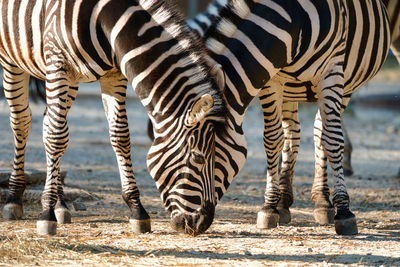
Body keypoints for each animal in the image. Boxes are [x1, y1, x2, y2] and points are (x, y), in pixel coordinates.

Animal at [0, 0, 230, 237]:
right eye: (198, 158)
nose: (203, 223)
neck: (107, 18)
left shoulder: (114, 74)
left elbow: (120, 136)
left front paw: (137, 209)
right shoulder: (58, 63)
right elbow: (55, 138)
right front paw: (46, 213)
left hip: (67, 78)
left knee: (49, 122)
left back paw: (60, 204)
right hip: (14, 60)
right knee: (22, 122)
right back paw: (15, 198)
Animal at [185, 0, 390, 236]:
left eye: (200, 156)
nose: (190, 224)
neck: (293, 16)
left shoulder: (332, 71)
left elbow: (332, 139)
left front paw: (344, 211)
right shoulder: (271, 79)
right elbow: (273, 139)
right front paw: (269, 207)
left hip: (345, 85)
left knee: (320, 132)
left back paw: (323, 202)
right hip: (290, 89)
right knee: (293, 134)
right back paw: (284, 202)